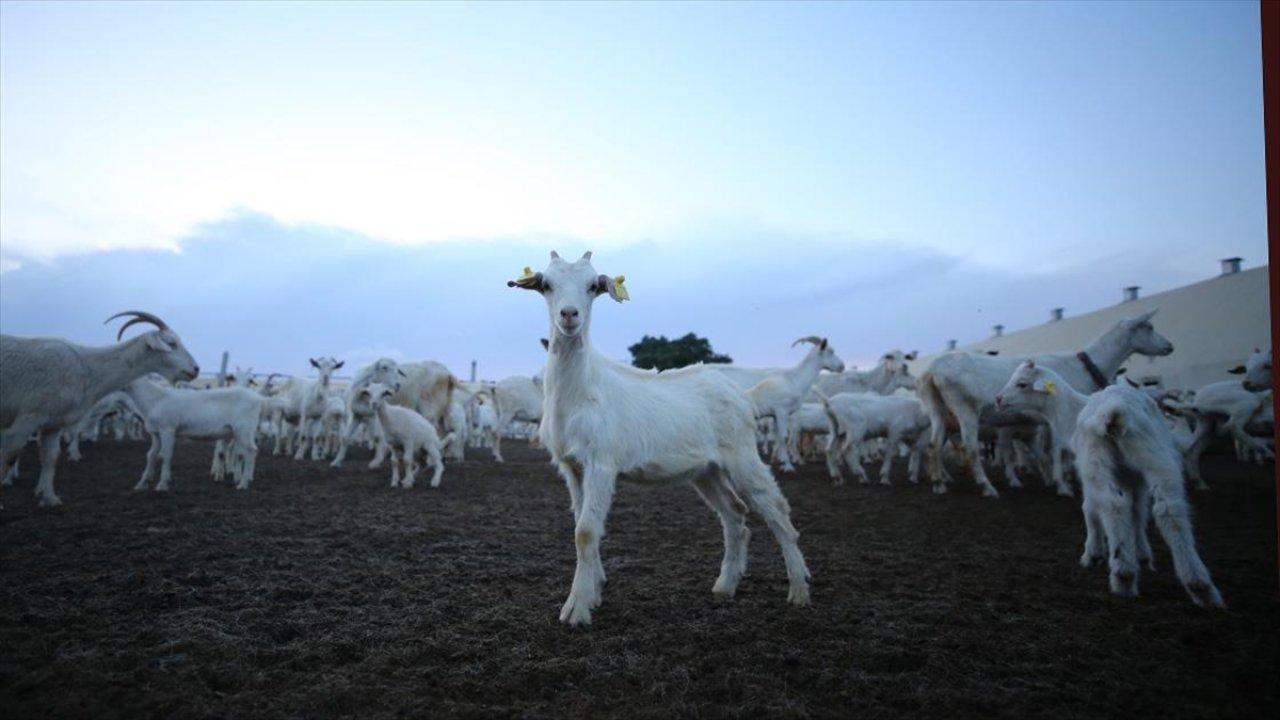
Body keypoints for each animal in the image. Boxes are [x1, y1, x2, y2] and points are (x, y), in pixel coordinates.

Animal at [0, 310, 199, 504]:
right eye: (171, 343)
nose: (196, 369)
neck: (86, 368)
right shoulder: (28, 418)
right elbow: (9, 454)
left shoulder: (53, 423)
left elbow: (50, 457)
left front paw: (49, 498)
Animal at [509, 251, 808, 622]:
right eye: (546, 285)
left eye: (593, 286)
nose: (569, 315)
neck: (580, 390)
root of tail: (744, 397)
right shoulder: (571, 466)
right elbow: (581, 525)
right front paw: (594, 592)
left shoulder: (601, 462)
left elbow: (586, 531)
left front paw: (576, 608)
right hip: (706, 469)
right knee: (735, 513)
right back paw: (725, 585)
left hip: (742, 454)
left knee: (776, 508)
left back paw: (799, 589)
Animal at [916, 308, 1172, 499]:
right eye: (1149, 327)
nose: (1169, 346)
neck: (1085, 366)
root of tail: (931, 371)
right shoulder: (1061, 414)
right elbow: (1059, 449)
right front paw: (1064, 485)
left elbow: (1050, 451)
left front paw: (1056, 478)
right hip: (965, 408)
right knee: (969, 447)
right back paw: (987, 487)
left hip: (938, 410)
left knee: (934, 445)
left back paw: (939, 483)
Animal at [993, 358, 1223, 604]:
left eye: (1022, 384)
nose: (998, 399)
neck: (1070, 414)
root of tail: (1113, 411)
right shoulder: (1132, 477)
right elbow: (1138, 512)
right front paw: (1142, 555)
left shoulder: (1085, 467)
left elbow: (1091, 508)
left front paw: (1094, 554)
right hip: (1155, 455)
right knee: (1170, 509)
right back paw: (1199, 585)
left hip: (1095, 458)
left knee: (1113, 505)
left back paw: (1123, 575)